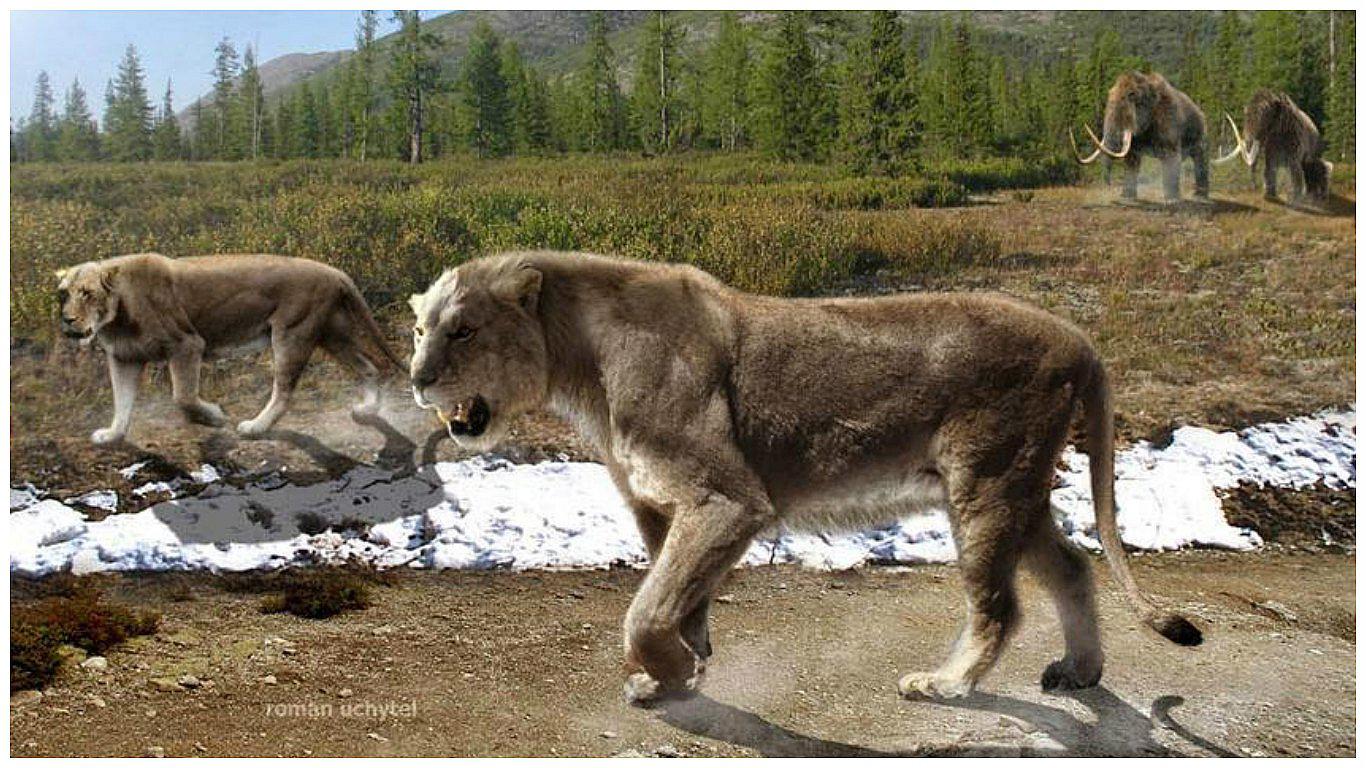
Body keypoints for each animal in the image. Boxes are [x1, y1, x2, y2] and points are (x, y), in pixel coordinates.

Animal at [57, 253, 401, 445]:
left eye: (86, 293)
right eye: (64, 294)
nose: (67, 320)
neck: (117, 317)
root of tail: (335, 272)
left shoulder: (186, 345)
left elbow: (183, 397)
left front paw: (215, 418)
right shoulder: (123, 358)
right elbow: (122, 402)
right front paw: (112, 435)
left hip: (292, 335)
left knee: (284, 391)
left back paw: (256, 427)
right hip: (332, 334)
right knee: (370, 366)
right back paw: (367, 410)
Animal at [408, 250, 1202, 706]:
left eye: (464, 330)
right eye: (420, 329)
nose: (416, 379)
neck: (581, 364)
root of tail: (1081, 339)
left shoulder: (727, 499)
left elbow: (645, 610)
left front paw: (668, 670)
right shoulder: (660, 505)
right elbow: (676, 596)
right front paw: (681, 670)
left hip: (986, 484)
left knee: (1000, 605)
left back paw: (945, 685)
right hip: (1019, 489)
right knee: (1071, 567)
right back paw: (1080, 670)